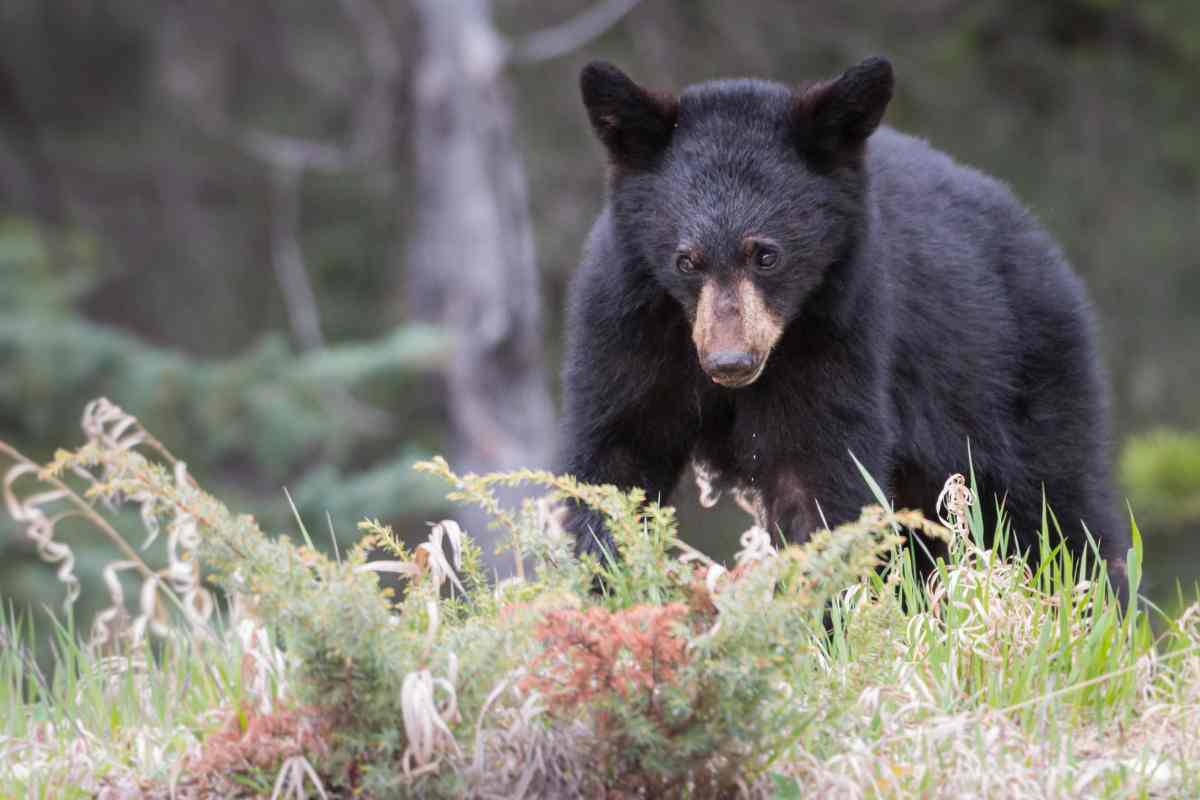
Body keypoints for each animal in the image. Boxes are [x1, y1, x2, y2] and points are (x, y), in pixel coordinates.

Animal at [556, 56, 1128, 594]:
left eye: (767, 255)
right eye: (686, 261)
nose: (730, 362)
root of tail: (1038, 237)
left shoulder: (841, 328)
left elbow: (820, 474)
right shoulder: (627, 325)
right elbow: (615, 456)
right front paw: (603, 582)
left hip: (1022, 379)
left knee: (1058, 508)